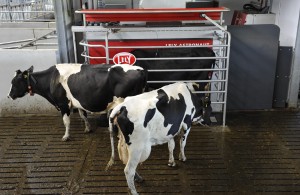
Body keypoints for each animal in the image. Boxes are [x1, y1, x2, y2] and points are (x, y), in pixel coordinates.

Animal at [7, 64, 146, 141]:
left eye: (14, 82)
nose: (9, 96)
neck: (51, 79)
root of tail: (140, 70)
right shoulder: (78, 103)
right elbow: (82, 116)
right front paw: (88, 128)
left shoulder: (63, 104)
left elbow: (66, 121)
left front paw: (66, 136)